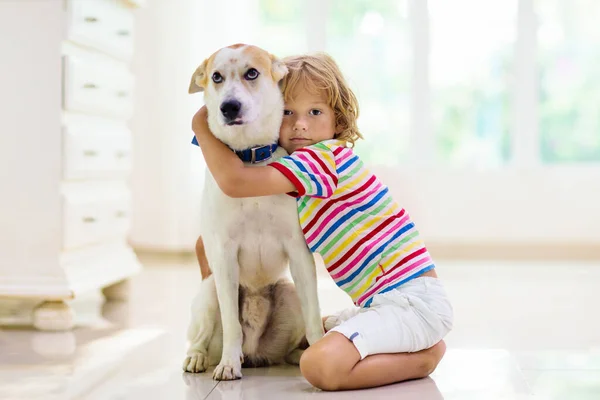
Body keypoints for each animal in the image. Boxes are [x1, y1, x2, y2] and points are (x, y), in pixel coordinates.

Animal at [183, 44, 324, 382]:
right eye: (216, 77)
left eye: (252, 73)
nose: (229, 107)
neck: (250, 160)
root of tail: (254, 352)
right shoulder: (223, 256)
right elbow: (232, 324)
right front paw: (227, 365)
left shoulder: (299, 252)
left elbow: (315, 318)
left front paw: (320, 350)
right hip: (209, 291)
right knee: (201, 338)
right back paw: (201, 358)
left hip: (289, 292)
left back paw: (299, 355)